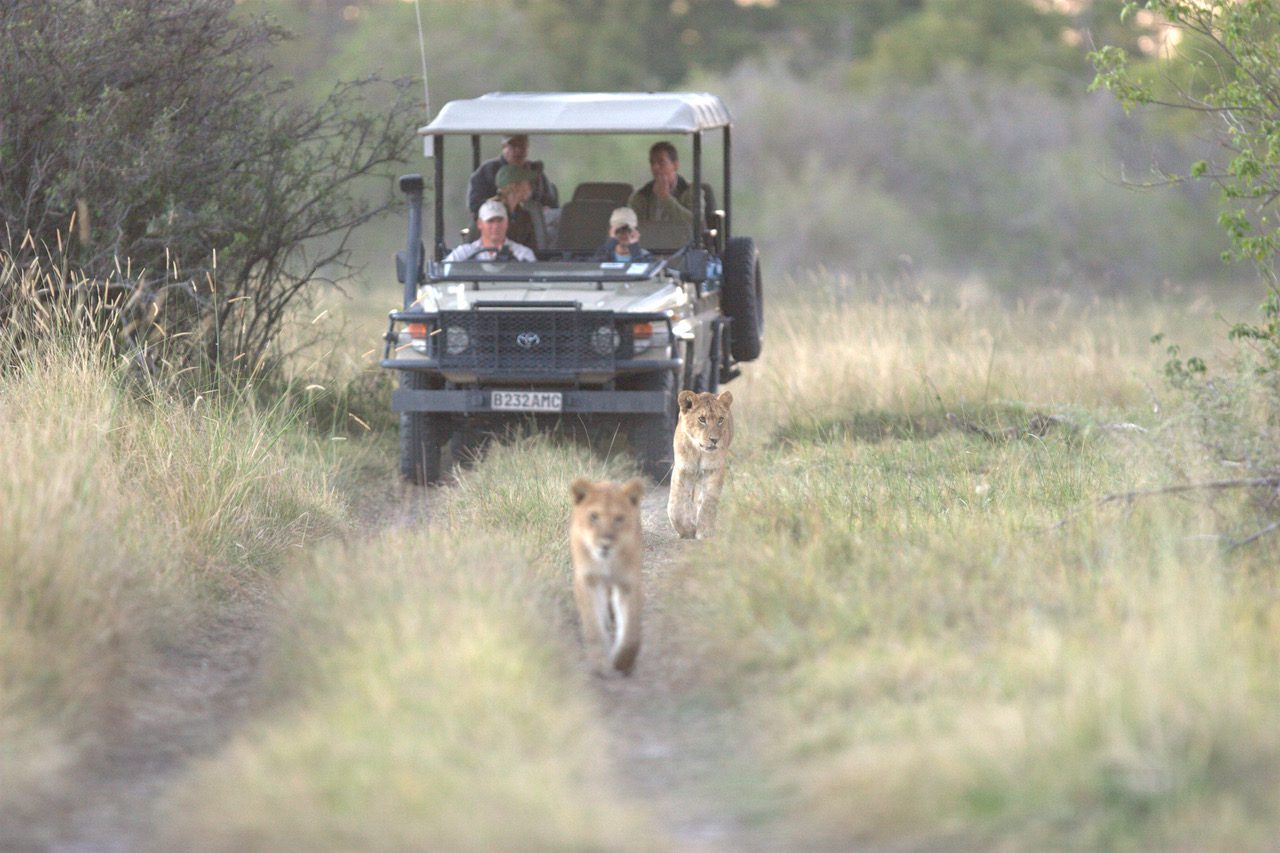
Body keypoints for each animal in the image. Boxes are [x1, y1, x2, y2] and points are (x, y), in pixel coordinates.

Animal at [569, 476, 645, 676]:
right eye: (594, 516)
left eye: (619, 519)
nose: (605, 544)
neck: (607, 563)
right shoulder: (588, 580)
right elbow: (593, 626)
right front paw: (600, 663)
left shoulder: (629, 582)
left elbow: (631, 632)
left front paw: (623, 662)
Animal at [668, 390, 734, 539]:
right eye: (702, 419)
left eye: (720, 419)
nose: (714, 440)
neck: (699, 451)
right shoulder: (682, 469)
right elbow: (675, 504)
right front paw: (686, 530)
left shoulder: (714, 469)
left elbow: (708, 502)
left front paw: (705, 531)